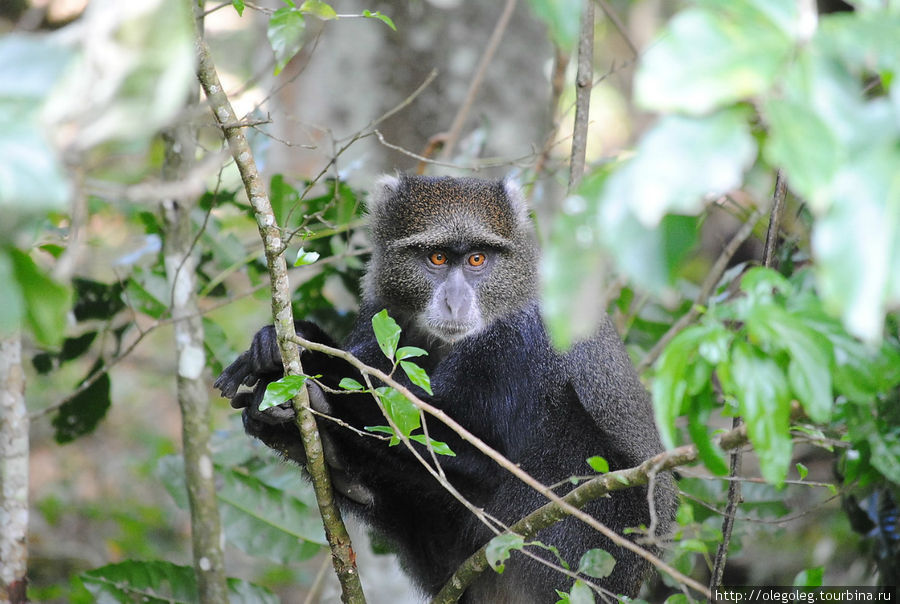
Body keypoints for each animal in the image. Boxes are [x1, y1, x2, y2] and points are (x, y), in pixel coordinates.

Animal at [216, 172, 676, 600]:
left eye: (477, 259)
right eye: (436, 258)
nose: (455, 302)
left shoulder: (519, 343)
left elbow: (471, 450)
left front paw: (308, 358)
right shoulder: (382, 314)